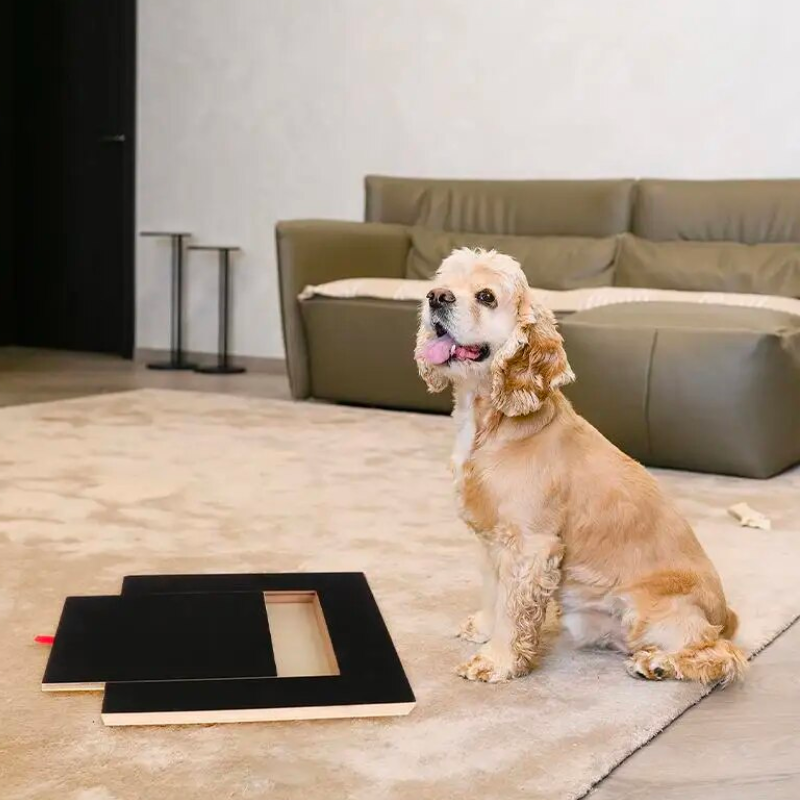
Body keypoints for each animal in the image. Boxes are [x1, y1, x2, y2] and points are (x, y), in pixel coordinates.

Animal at [416, 247, 748, 684]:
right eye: (443, 284)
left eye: (486, 296)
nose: (436, 298)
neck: (492, 422)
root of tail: (724, 614)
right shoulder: (492, 537)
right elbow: (493, 589)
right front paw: (483, 629)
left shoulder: (531, 545)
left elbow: (511, 608)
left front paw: (497, 660)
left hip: (659, 613)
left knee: (721, 653)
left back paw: (658, 662)